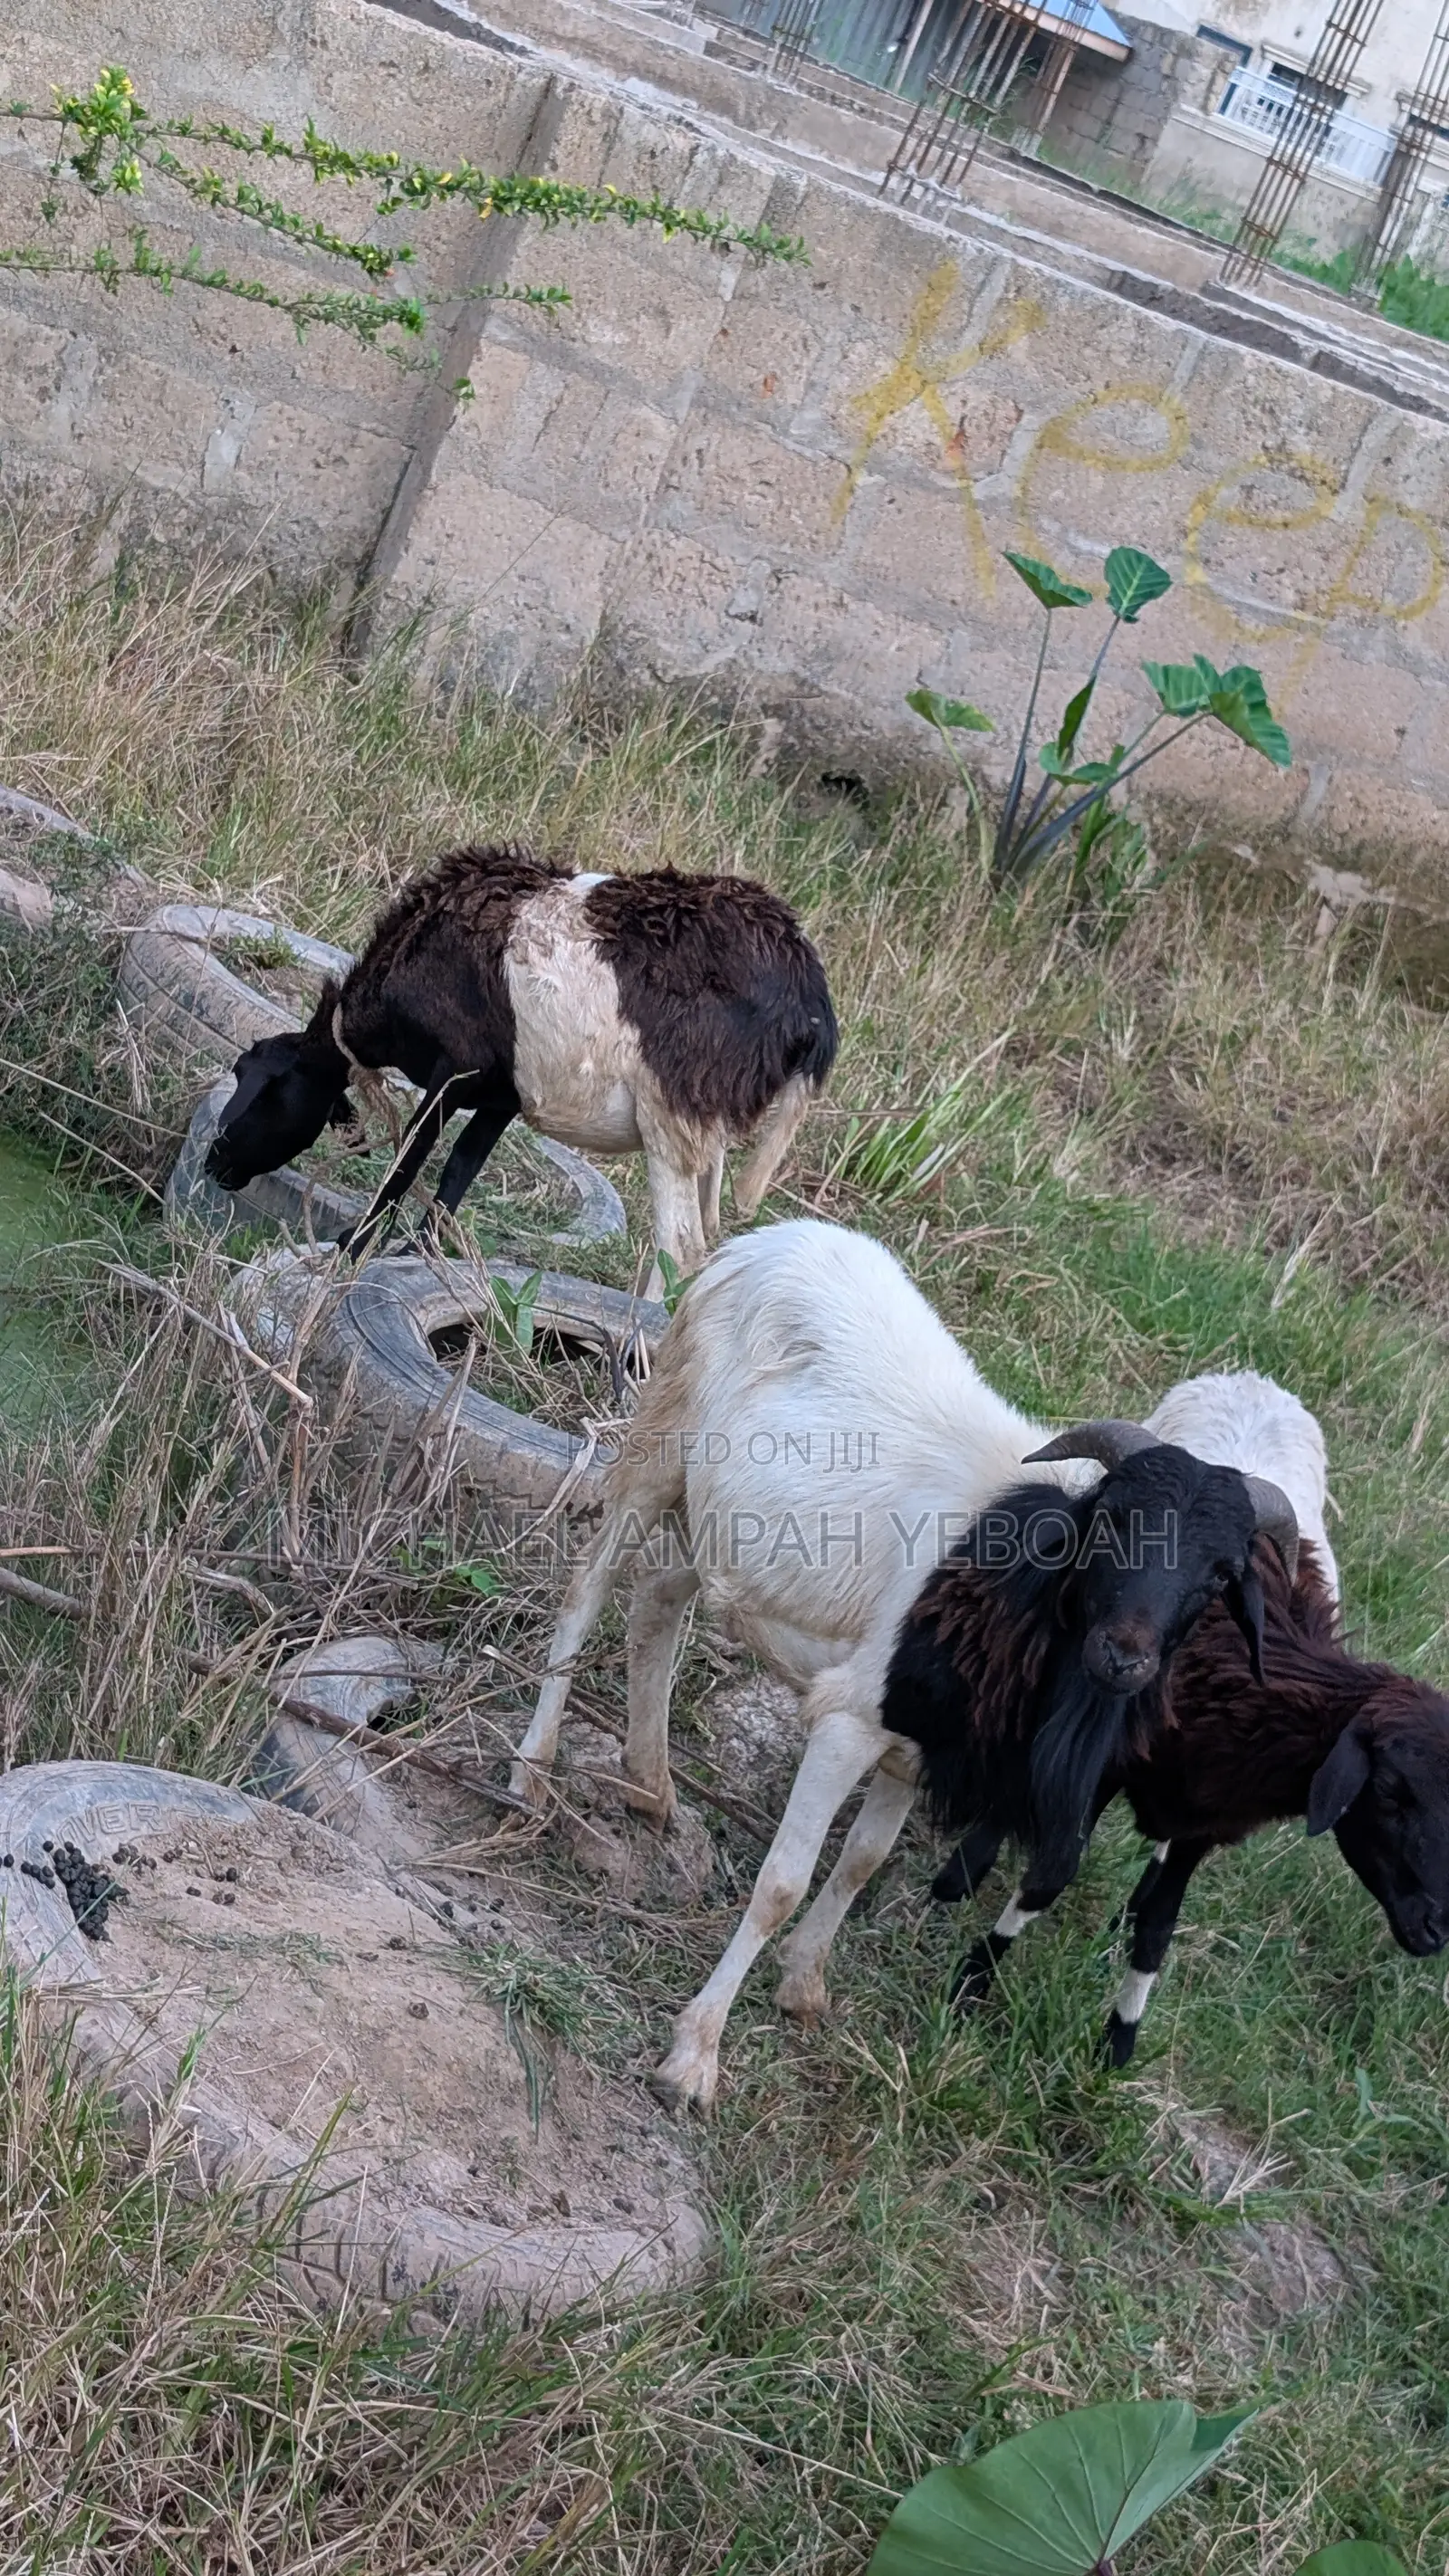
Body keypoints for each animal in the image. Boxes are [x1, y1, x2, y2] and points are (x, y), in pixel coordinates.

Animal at [203, 847, 837, 1288]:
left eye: (267, 1088)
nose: (215, 1162)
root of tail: (809, 999)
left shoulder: (453, 1069)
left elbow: (408, 1163)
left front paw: (348, 1249)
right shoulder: (501, 1093)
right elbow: (459, 1171)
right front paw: (417, 1256)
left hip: (674, 1112)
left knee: (680, 1250)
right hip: (708, 1131)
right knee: (702, 1243)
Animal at [508, 1219, 1298, 2110]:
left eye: (1220, 1575)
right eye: (1113, 1523)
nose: (1123, 1656)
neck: (1014, 1590)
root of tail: (763, 1239)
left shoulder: (914, 1746)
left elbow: (860, 1863)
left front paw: (803, 1987)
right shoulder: (849, 1720)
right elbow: (783, 1883)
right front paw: (694, 2057)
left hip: (720, 1524)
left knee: (658, 1602)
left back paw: (650, 1785)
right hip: (661, 1439)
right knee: (589, 1586)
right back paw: (530, 1775)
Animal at [930, 1535, 1449, 2065]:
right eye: (1388, 1790)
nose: (1435, 1932)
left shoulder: (1205, 1823)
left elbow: (1159, 1929)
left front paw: (1118, 2042)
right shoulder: (1107, 1764)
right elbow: (1050, 1876)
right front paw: (971, 1982)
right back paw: (965, 1870)